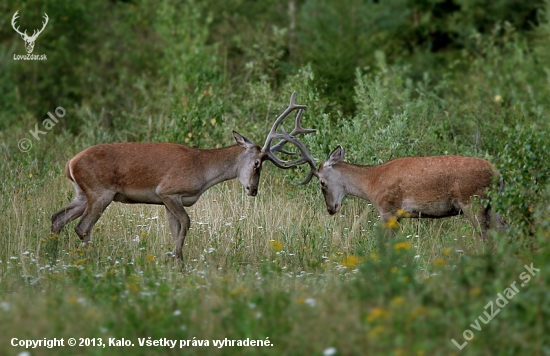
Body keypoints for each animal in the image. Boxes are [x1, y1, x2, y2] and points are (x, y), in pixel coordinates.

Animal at [51, 92, 320, 262]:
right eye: (257, 164)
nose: (253, 190)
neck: (203, 171)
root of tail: (70, 163)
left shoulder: (167, 201)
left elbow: (175, 229)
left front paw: (174, 261)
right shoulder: (168, 191)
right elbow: (187, 223)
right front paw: (178, 261)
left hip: (82, 194)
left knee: (58, 218)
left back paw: (51, 256)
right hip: (100, 192)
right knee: (82, 227)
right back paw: (97, 261)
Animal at [296, 145, 506, 239]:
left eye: (322, 182)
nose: (331, 209)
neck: (371, 184)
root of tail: (498, 174)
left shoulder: (387, 208)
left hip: (473, 201)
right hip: (493, 207)